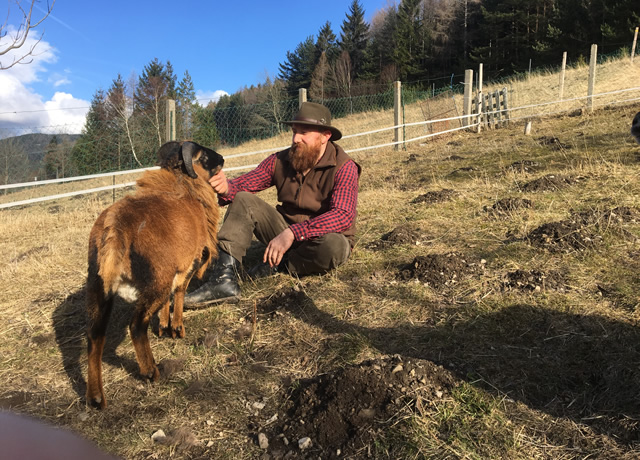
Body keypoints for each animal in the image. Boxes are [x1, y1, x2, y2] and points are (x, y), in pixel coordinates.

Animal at [85, 141, 225, 410]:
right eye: (203, 156)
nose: (222, 159)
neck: (187, 189)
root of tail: (114, 227)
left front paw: (163, 326)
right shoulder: (190, 260)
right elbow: (179, 291)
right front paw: (176, 329)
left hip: (100, 287)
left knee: (95, 336)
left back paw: (96, 397)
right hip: (154, 282)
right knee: (136, 325)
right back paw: (151, 371)